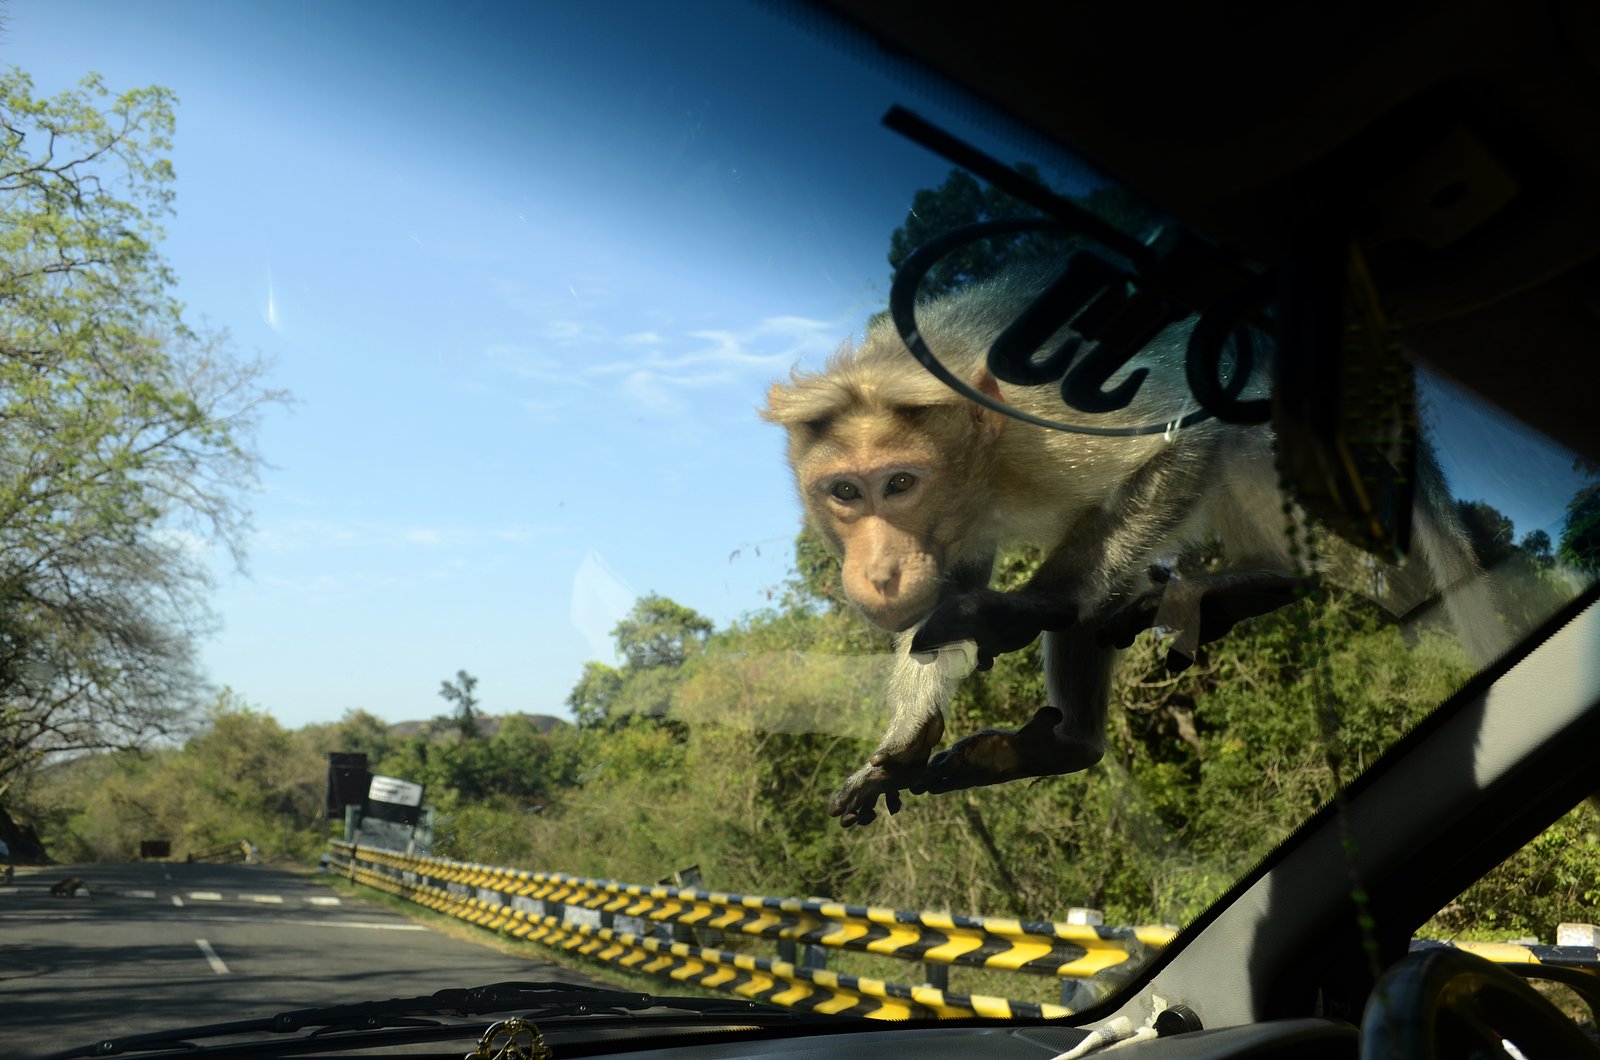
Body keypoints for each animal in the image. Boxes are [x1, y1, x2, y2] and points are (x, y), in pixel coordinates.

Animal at [762, 269, 1501, 827]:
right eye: (845, 493)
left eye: (900, 483)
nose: (880, 571)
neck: (985, 466)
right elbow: (950, 592)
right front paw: (908, 736)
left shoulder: (1042, 415)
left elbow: (1183, 436)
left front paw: (1016, 610)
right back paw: (1070, 746)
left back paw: (1269, 579)